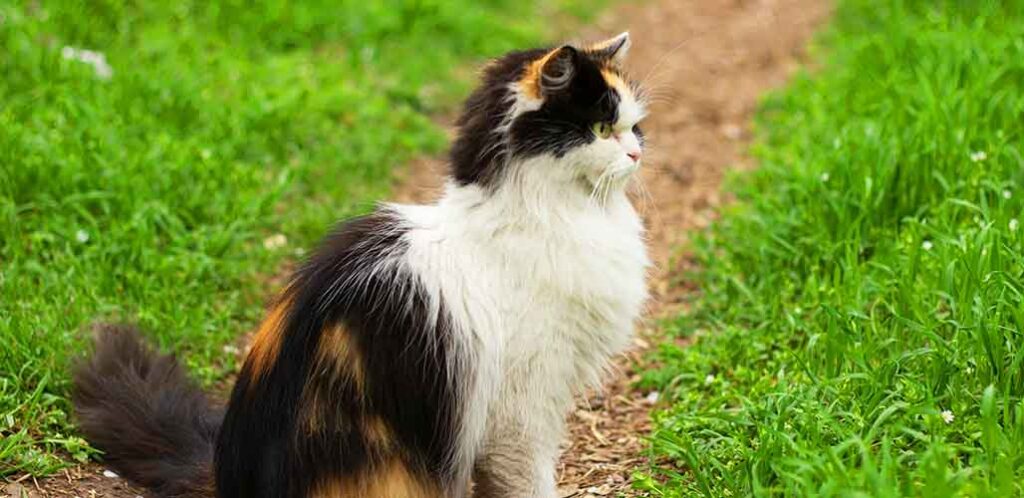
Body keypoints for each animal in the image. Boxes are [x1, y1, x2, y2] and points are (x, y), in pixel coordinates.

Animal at [74, 32, 647, 498]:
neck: (529, 217)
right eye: (602, 128)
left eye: (634, 128)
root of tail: (227, 475)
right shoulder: (520, 409)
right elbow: (526, 481)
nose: (639, 153)